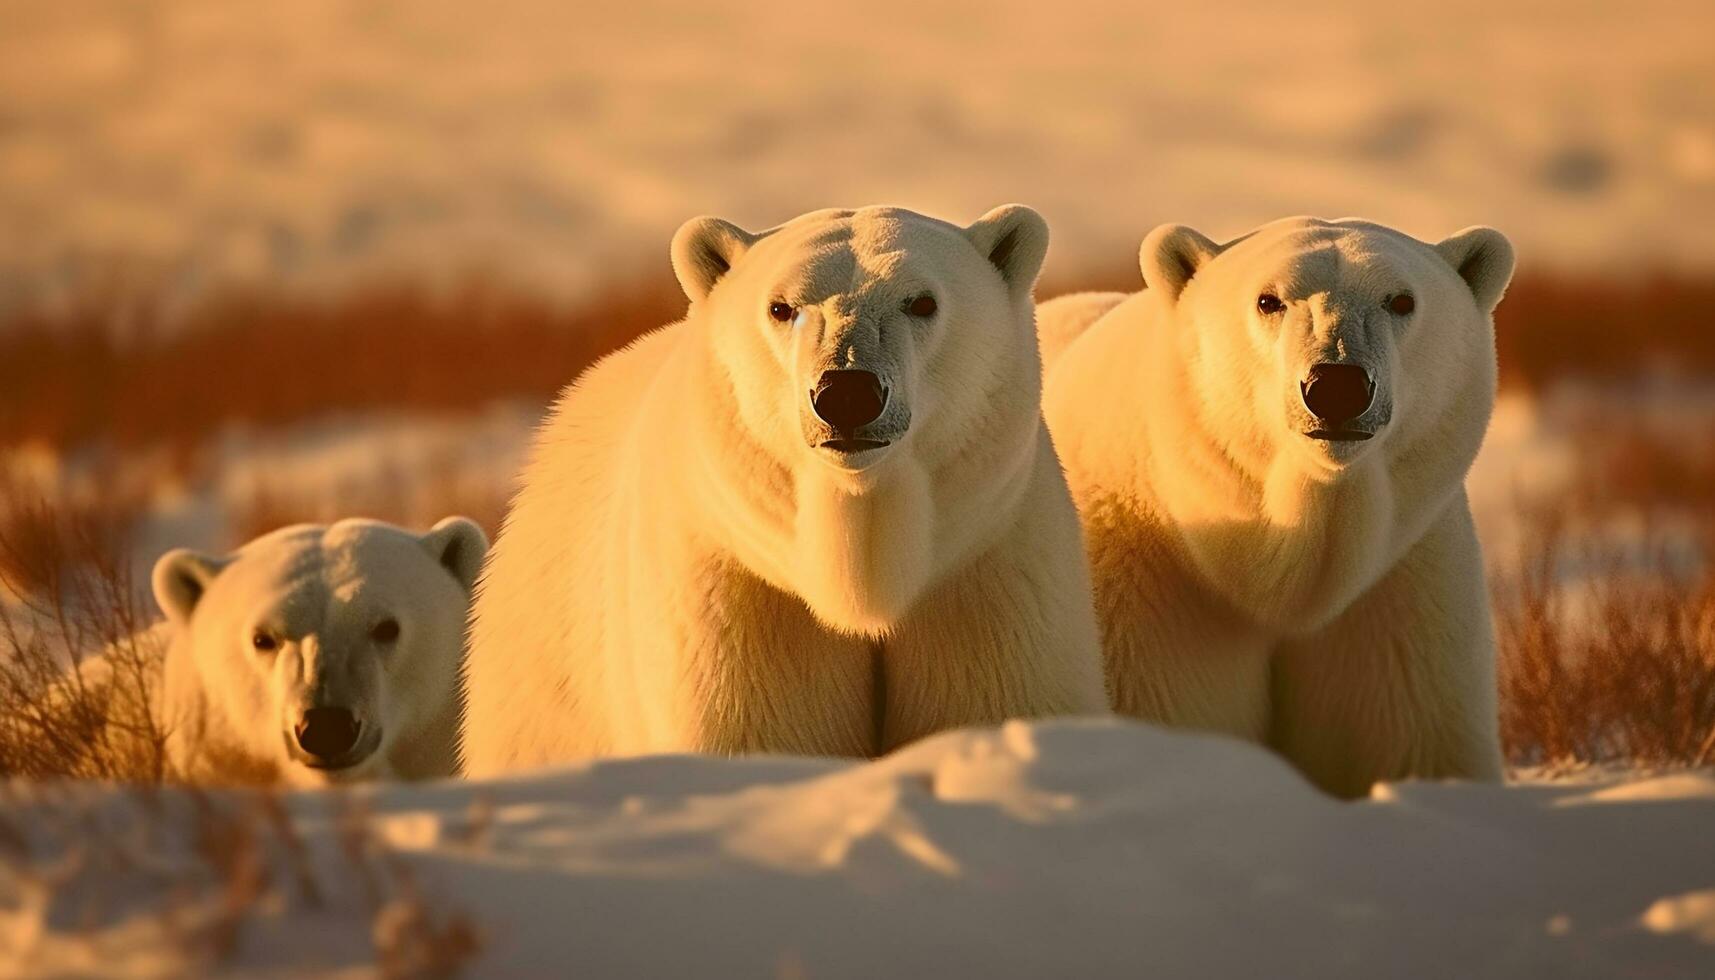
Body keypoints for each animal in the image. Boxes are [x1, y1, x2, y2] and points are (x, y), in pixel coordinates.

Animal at [1042, 214, 1516, 796]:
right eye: (1269, 300)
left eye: (1402, 300)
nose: (1336, 385)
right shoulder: (1146, 592)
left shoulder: (1400, 591)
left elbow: (1409, 738)